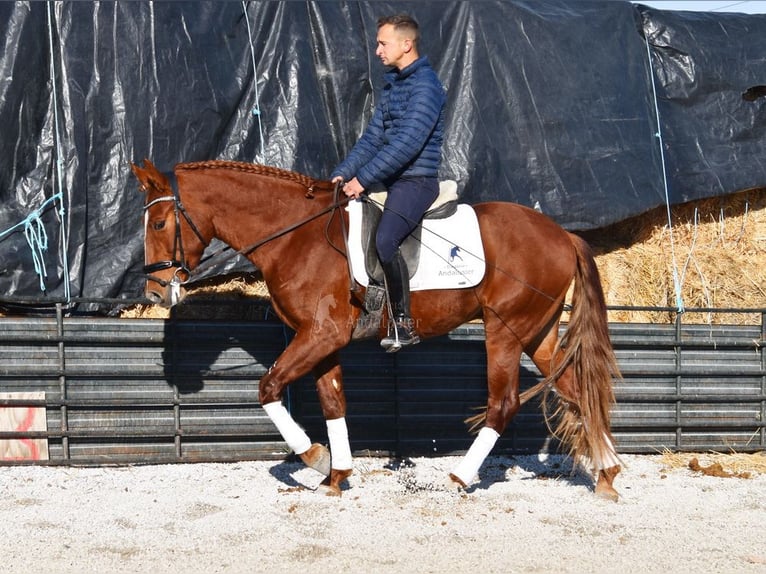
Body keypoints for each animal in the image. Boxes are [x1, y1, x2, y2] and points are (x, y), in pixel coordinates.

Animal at [130, 160, 624, 502]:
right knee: (577, 390)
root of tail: (563, 235)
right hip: (537, 333)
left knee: (502, 405)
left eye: (160, 223)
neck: (294, 236)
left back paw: (459, 477)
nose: (154, 291)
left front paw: (315, 458)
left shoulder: (320, 336)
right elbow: (333, 404)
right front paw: (336, 476)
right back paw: (606, 475)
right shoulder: (323, 342)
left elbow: (268, 388)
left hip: (505, 330)